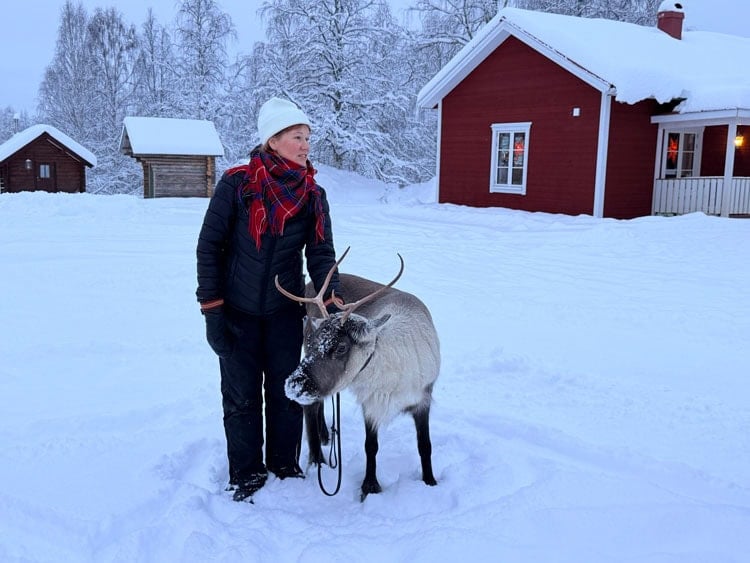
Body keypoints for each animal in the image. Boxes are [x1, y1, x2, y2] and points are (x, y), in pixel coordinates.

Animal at [275, 248, 440, 501]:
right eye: (312, 342)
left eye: (341, 347)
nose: (294, 384)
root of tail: (310, 284)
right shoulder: (370, 404)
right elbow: (370, 447)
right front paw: (369, 486)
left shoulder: (423, 399)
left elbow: (425, 446)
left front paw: (430, 481)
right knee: (311, 407)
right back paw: (317, 457)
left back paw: (325, 436)